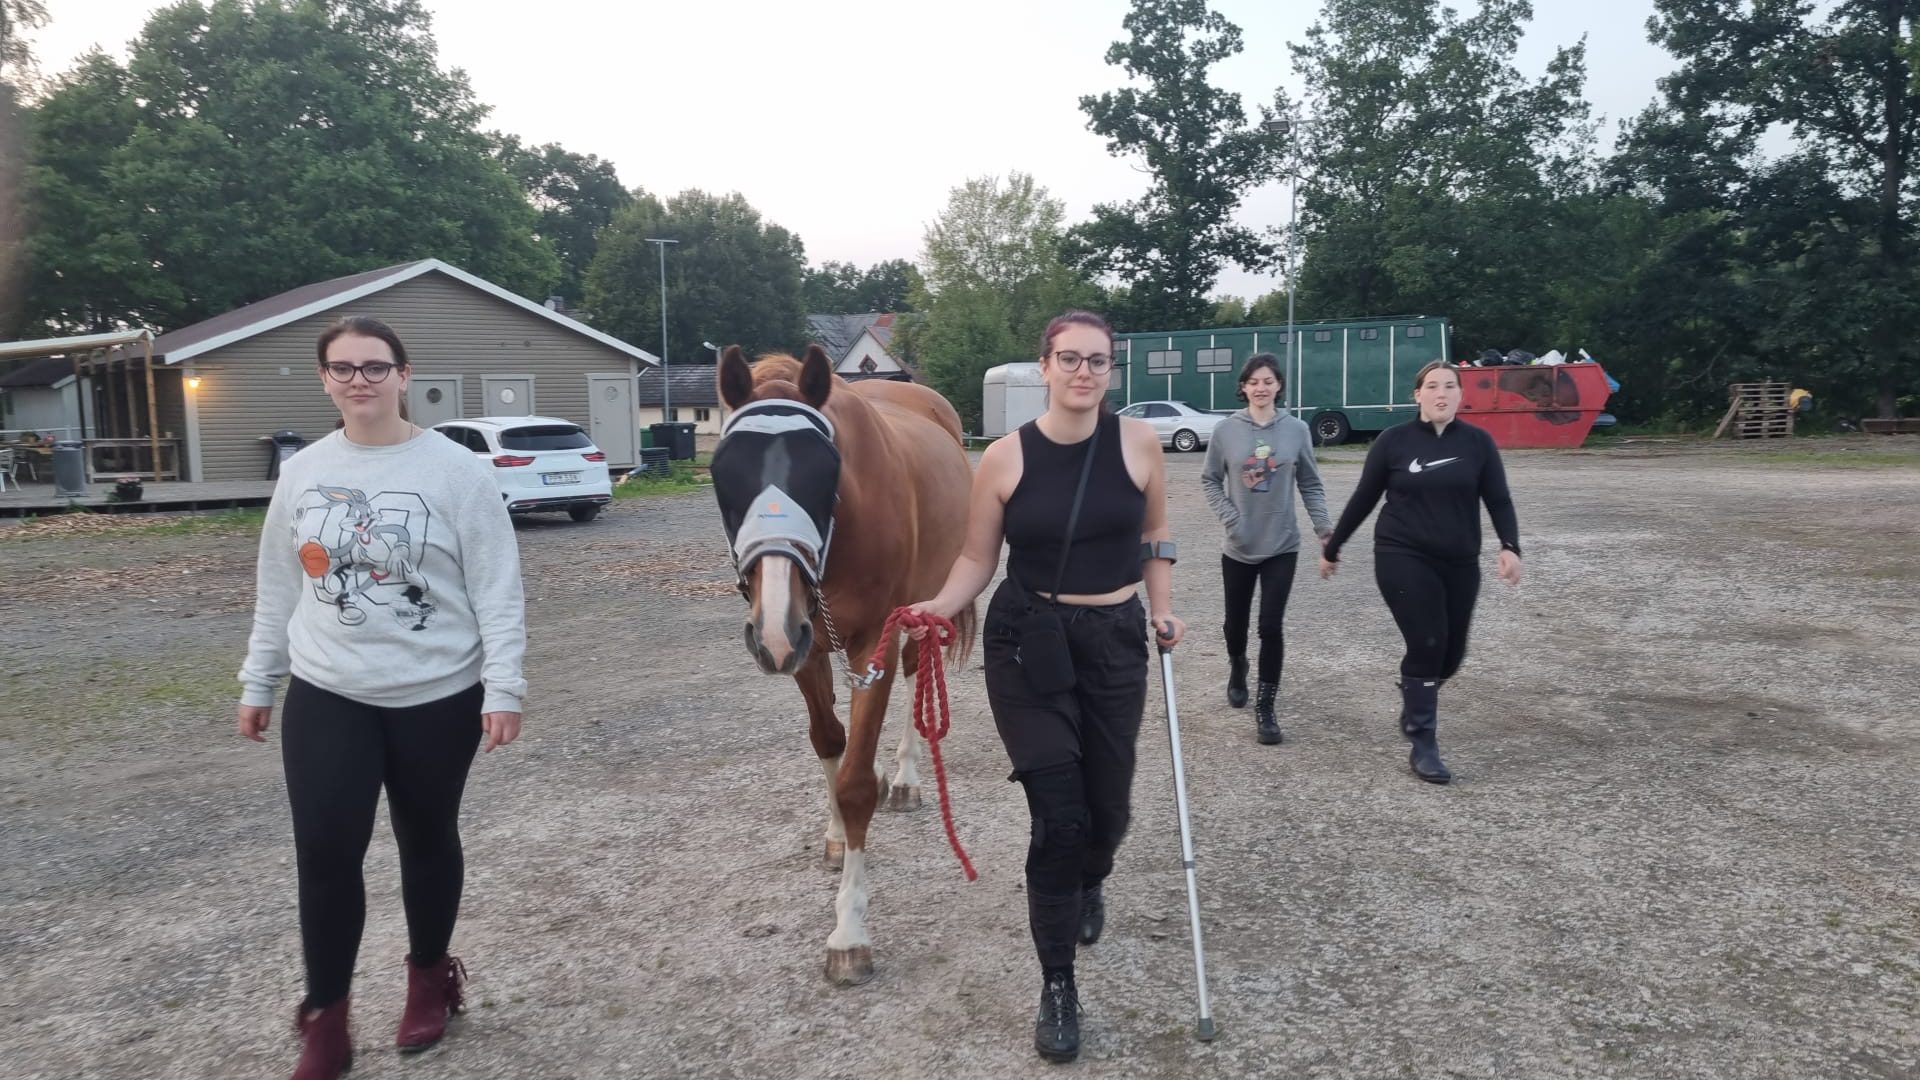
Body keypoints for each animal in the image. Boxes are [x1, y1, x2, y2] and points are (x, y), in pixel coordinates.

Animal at [710, 340, 983, 980]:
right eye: (722, 475)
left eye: (826, 473)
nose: (772, 627)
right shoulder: (804, 644)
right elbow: (829, 741)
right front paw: (836, 833)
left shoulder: (870, 643)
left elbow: (857, 782)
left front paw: (849, 930)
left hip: (920, 609)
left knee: (916, 674)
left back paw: (904, 777)